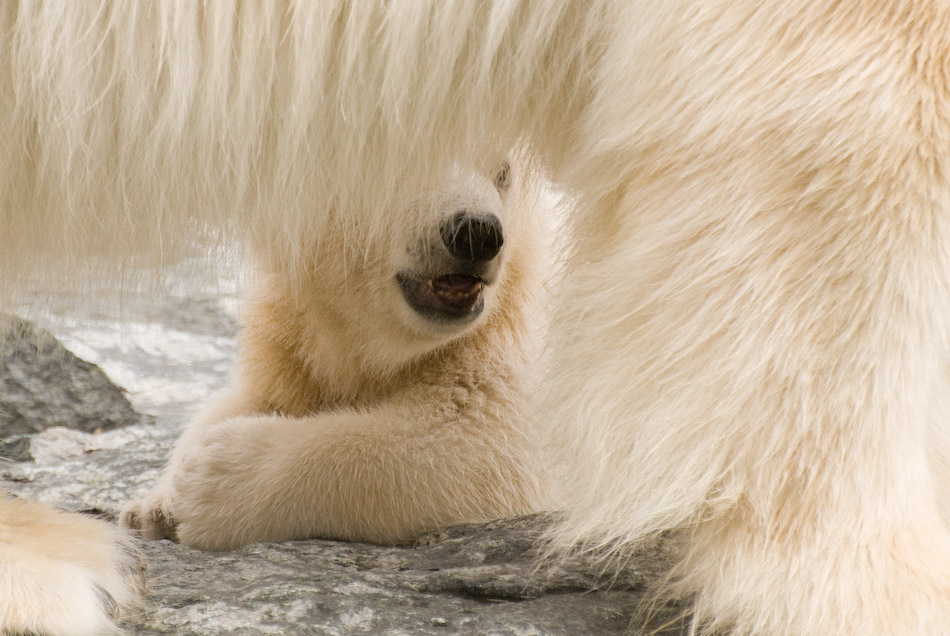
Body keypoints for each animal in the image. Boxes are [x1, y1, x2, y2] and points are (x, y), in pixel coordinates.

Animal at [1, 1, 950, 636]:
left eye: (502, 170)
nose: (476, 234)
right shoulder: (291, 326)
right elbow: (256, 390)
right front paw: (150, 501)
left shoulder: (515, 333)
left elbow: (481, 442)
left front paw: (214, 478)